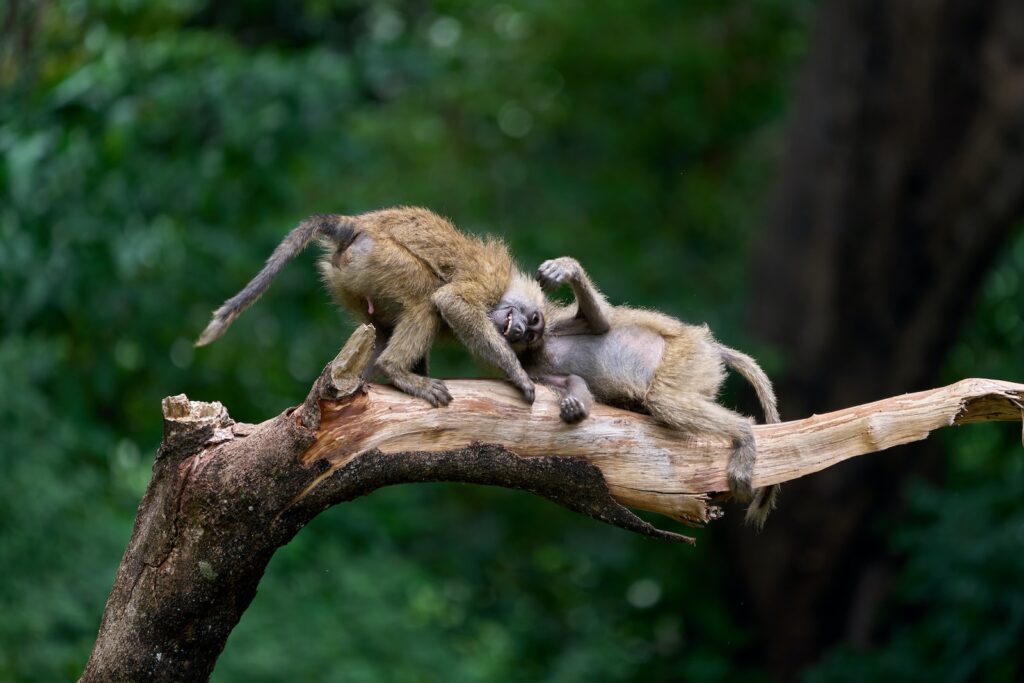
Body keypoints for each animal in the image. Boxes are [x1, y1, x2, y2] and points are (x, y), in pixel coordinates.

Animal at [194, 206, 544, 405]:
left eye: (530, 335)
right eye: (533, 321)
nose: (521, 330)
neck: (504, 288)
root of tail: (356, 225)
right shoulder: (489, 280)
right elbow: (451, 302)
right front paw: (518, 374)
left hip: (350, 277)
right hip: (378, 257)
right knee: (425, 300)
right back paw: (394, 369)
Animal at [516, 255, 778, 528]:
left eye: (529, 320)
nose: (519, 329)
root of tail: (709, 347)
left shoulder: (550, 324)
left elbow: (600, 323)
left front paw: (567, 269)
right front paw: (573, 405)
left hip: (687, 354)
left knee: (665, 400)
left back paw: (744, 434)